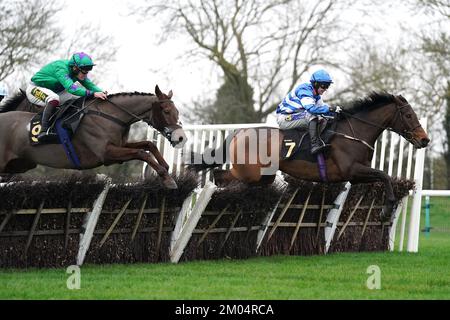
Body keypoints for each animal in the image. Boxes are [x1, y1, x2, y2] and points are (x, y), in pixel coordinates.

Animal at [0, 86, 187, 189]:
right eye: (166, 111)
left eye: (177, 111)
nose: (180, 138)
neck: (110, 115)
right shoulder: (106, 154)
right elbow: (142, 153)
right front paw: (166, 178)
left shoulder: (120, 145)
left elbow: (148, 144)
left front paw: (165, 167)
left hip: (22, 164)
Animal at [190, 91, 428, 219]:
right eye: (409, 115)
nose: (425, 140)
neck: (353, 133)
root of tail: (240, 132)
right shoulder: (352, 170)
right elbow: (384, 175)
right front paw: (387, 209)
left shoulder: (355, 175)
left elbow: (382, 177)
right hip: (250, 172)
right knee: (221, 177)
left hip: (262, 176)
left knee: (225, 178)